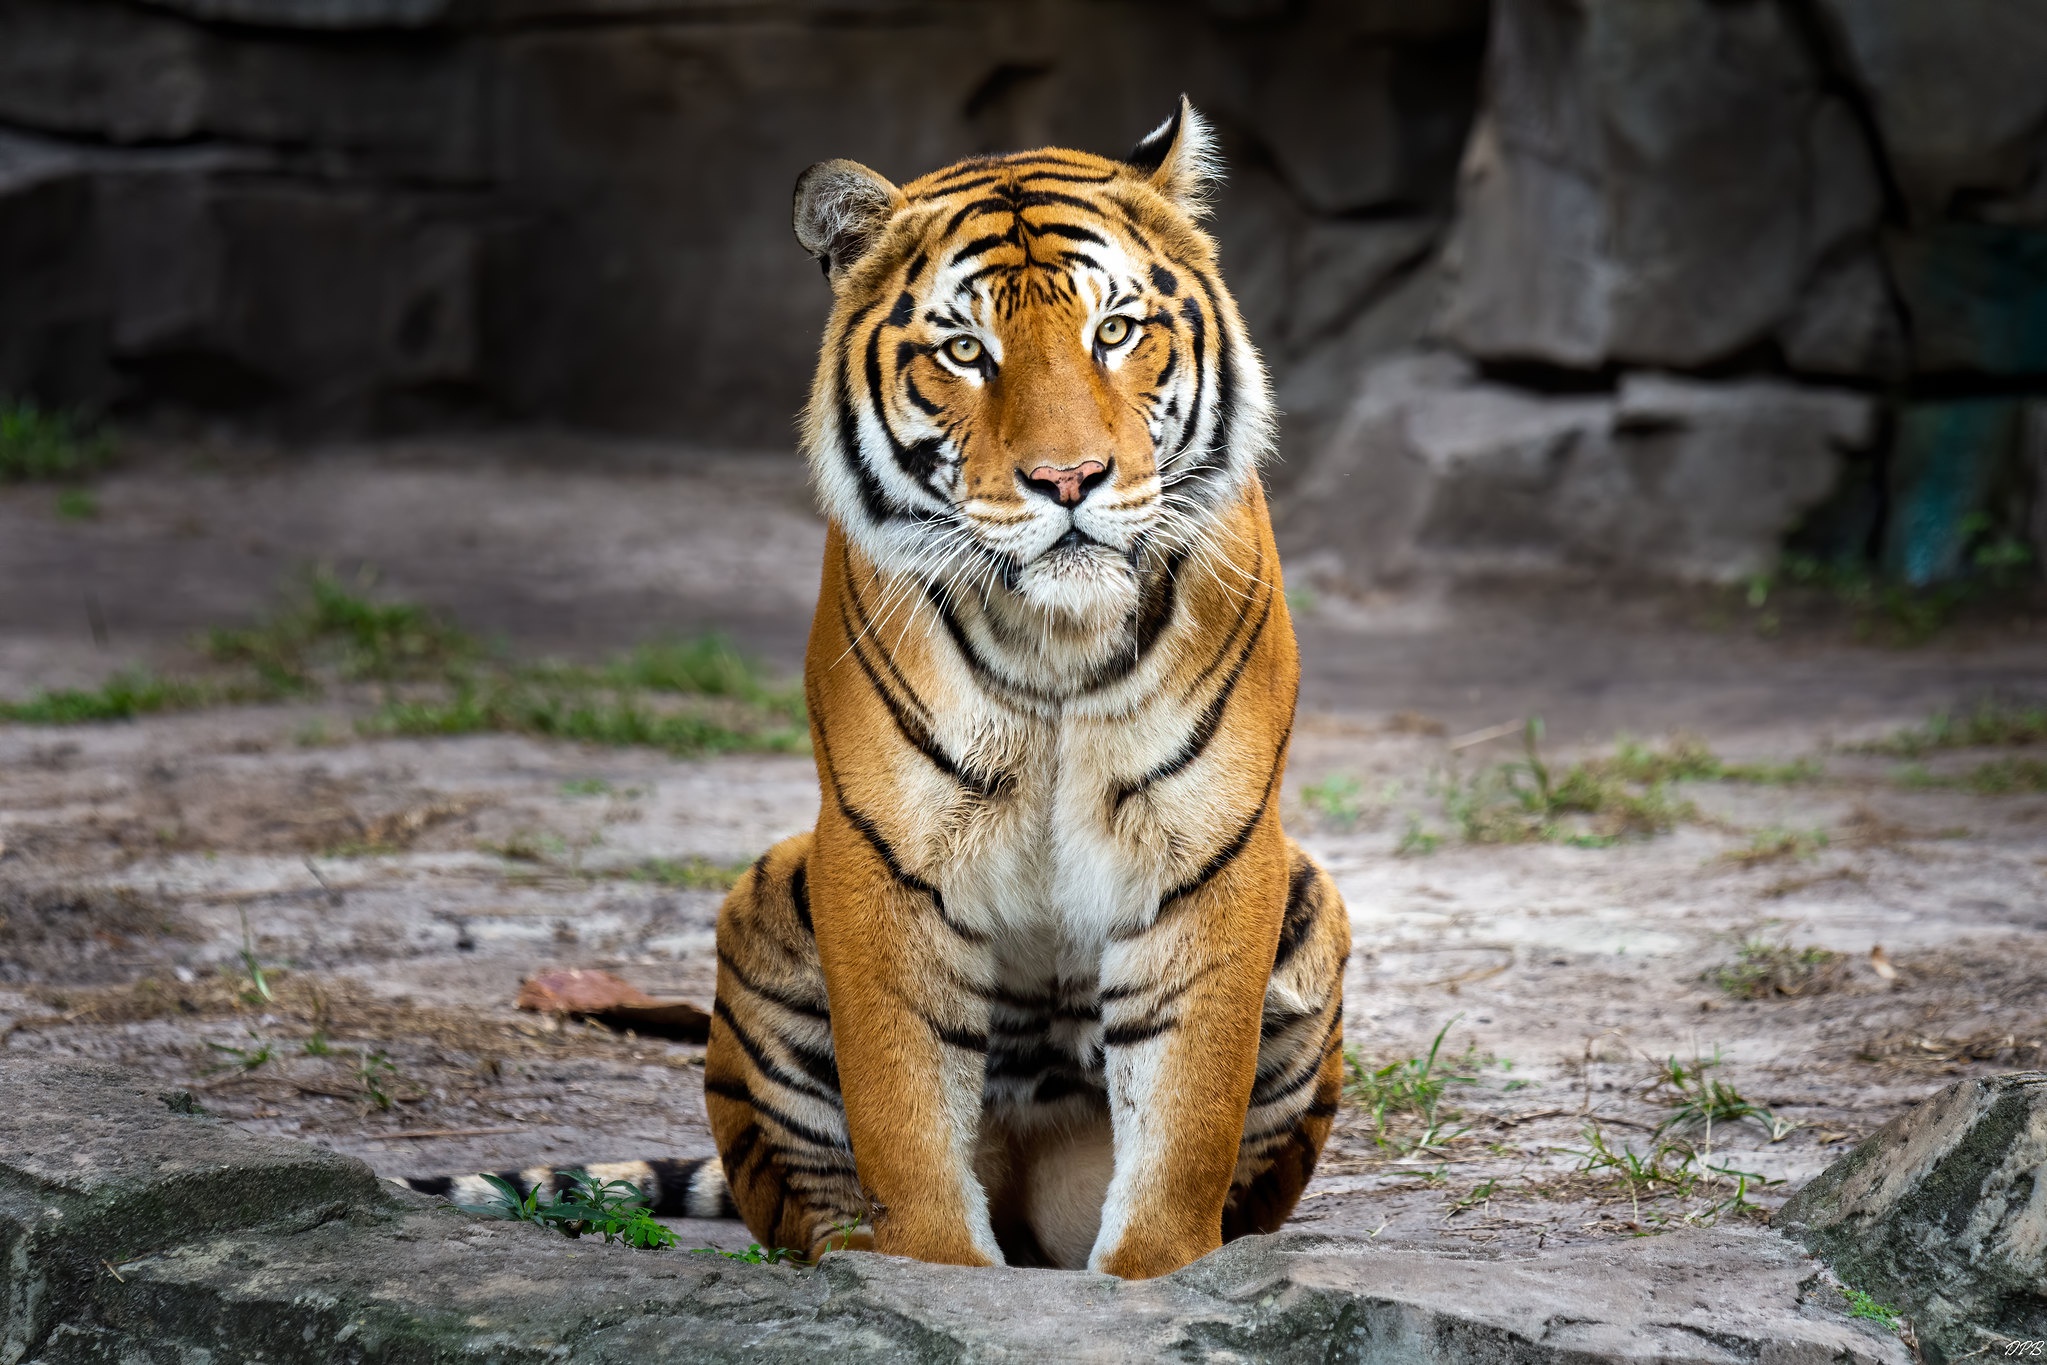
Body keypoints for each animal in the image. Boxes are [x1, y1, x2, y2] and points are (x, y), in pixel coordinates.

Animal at [700, 98, 1342, 1285]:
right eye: (966, 350)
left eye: (1115, 332)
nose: (1069, 480)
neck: (1056, 639)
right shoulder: (884, 851)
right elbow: (904, 1111)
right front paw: (930, 1276)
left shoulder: (1210, 849)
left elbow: (1184, 1120)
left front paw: (1155, 1278)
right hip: (768, 896)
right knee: (807, 1197)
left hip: (1310, 900)